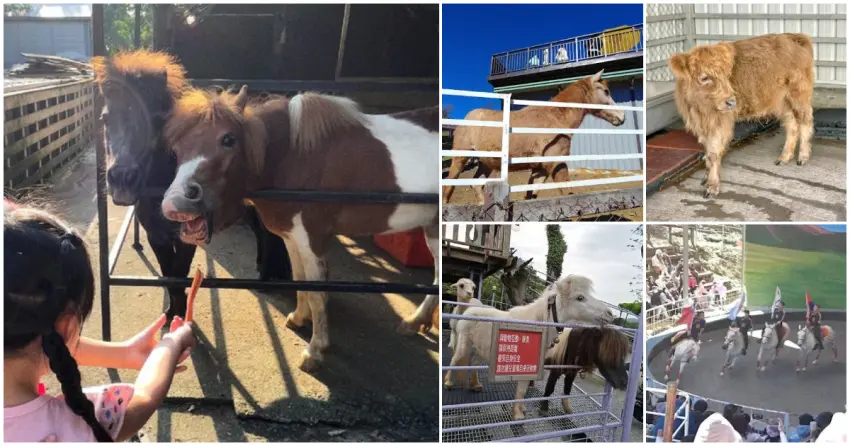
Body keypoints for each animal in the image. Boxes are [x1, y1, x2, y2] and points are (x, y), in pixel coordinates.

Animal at [90, 50, 290, 320]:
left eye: (157, 120)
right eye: (105, 118)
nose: (122, 178)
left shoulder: (188, 237)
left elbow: (178, 274)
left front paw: (181, 314)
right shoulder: (157, 236)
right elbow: (169, 276)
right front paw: (172, 312)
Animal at [158, 86, 439, 372]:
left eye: (228, 139)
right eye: (176, 149)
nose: (175, 204)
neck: (293, 157)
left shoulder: (312, 239)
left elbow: (317, 294)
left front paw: (315, 350)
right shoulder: (292, 237)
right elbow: (299, 278)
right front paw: (299, 317)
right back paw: (416, 322)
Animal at [442, 69, 626, 204]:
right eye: (606, 91)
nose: (622, 117)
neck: (555, 117)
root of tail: (466, 119)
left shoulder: (540, 169)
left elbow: (532, 195)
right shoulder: (557, 164)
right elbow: (568, 194)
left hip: (486, 163)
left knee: (476, 185)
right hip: (460, 158)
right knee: (448, 188)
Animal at [444, 274, 615, 420]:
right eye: (580, 297)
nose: (610, 314)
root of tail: (468, 310)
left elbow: (524, 388)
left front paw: (521, 410)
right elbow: (521, 388)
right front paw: (518, 415)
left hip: (482, 349)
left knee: (473, 362)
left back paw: (476, 385)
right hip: (464, 343)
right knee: (454, 360)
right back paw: (448, 383)